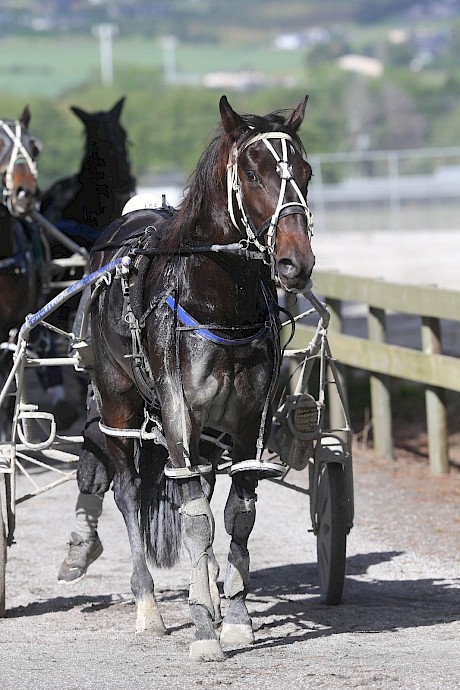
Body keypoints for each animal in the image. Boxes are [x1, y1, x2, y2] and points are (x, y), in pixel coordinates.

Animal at [88, 94, 314, 660]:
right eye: (253, 174)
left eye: (305, 171)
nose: (295, 262)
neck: (219, 302)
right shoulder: (178, 414)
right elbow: (194, 518)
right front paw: (204, 631)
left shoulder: (247, 419)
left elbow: (236, 515)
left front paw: (231, 616)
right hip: (118, 401)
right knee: (129, 492)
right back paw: (149, 606)